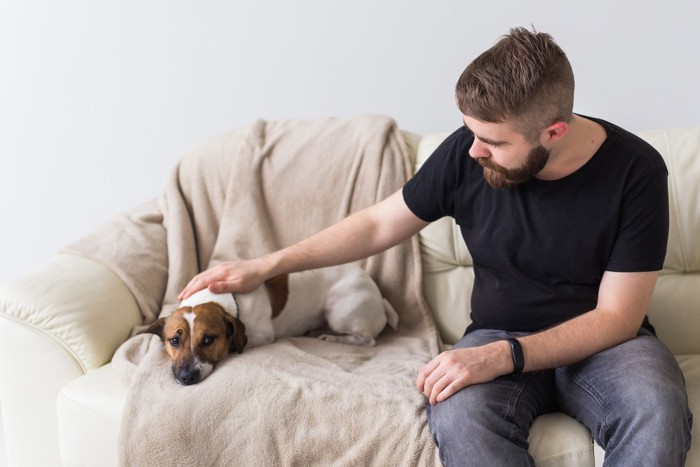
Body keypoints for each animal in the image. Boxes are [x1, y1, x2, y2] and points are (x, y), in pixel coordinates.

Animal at [139, 266, 396, 386]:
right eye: (174, 340)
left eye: (209, 339)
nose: (186, 377)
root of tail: (379, 295)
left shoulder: (262, 335)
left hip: (339, 309)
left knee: (367, 339)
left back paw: (332, 337)